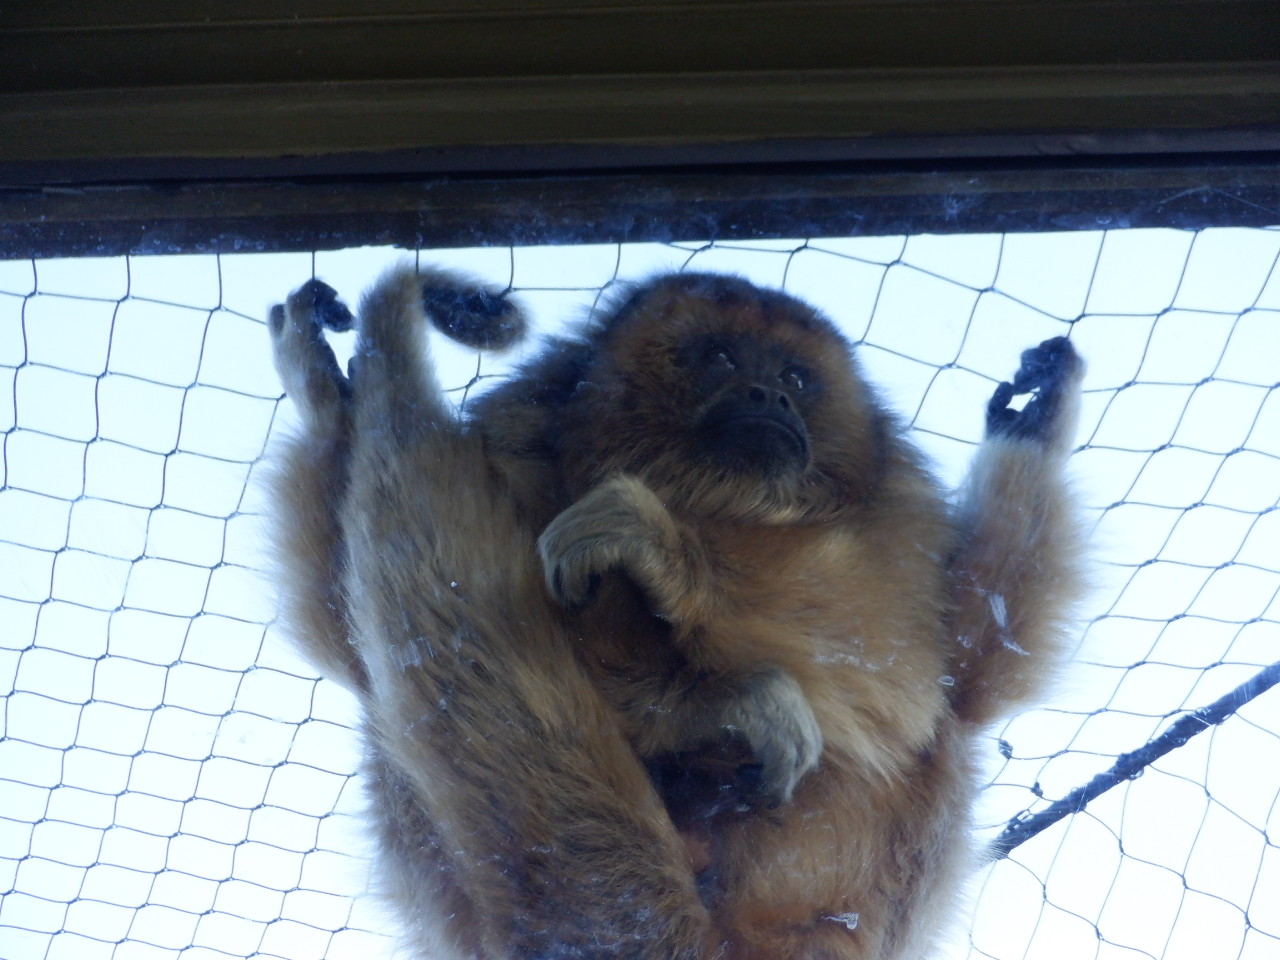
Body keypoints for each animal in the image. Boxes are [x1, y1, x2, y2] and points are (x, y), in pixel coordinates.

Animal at [267, 264, 1084, 960]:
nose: (769, 398)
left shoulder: (900, 506)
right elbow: (344, 643)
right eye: (718, 357)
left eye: (794, 375)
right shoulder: (516, 434)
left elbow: (942, 666)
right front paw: (322, 392)